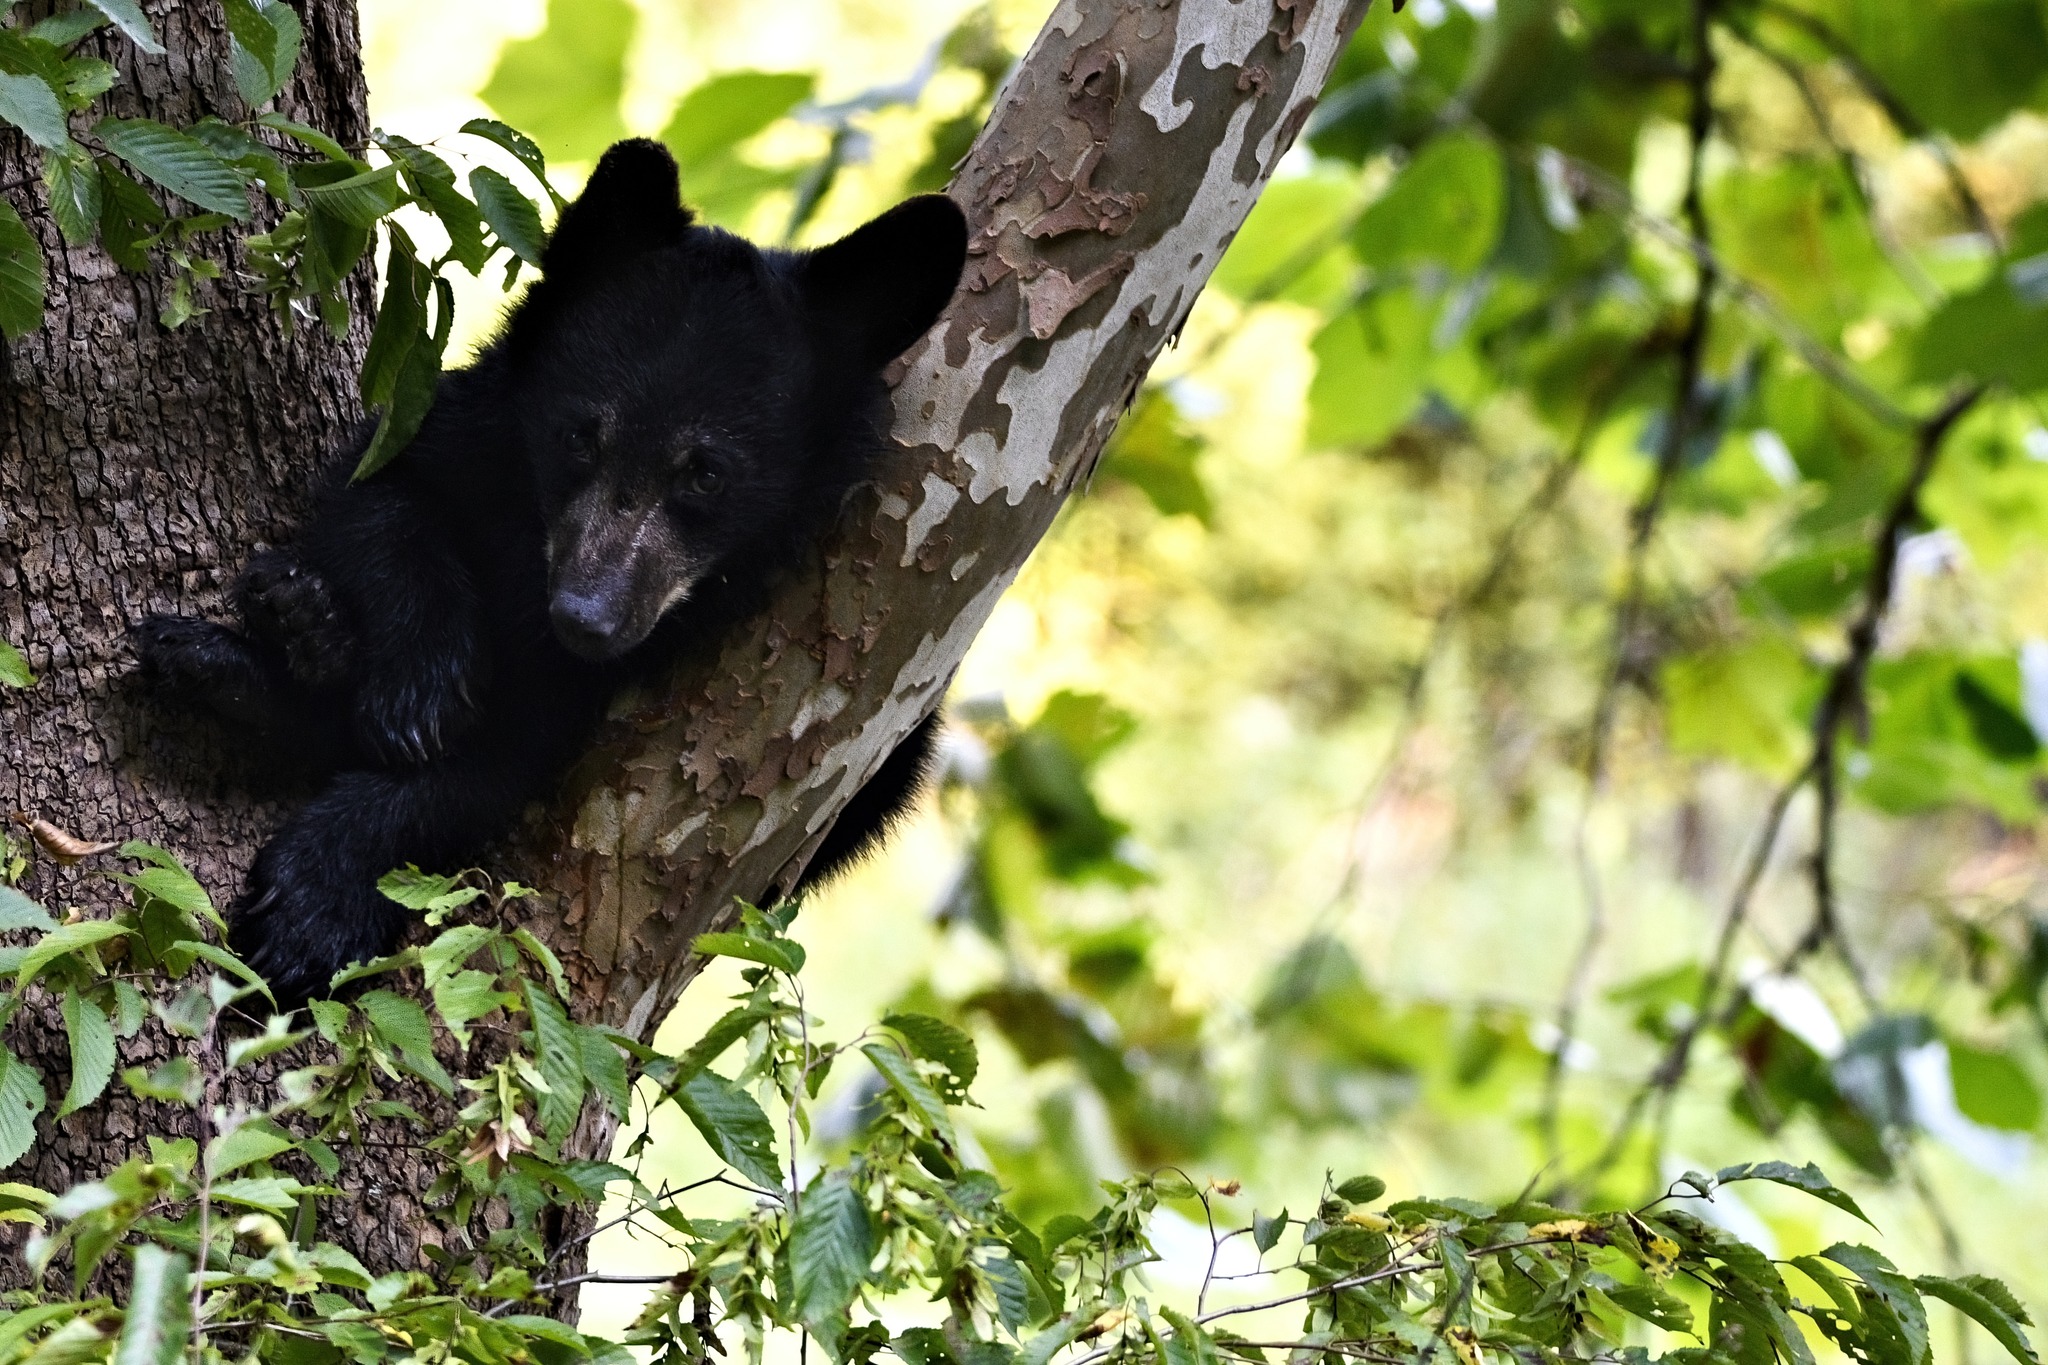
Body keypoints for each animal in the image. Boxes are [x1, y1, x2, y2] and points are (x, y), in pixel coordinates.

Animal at [134, 138, 969, 1006]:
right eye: (578, 435)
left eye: (707, 475)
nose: (583, 617)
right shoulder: (468, 426)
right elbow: (377, 490)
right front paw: (421, 686)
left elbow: (497, 762)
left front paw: (311, 906)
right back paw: (280, 632)